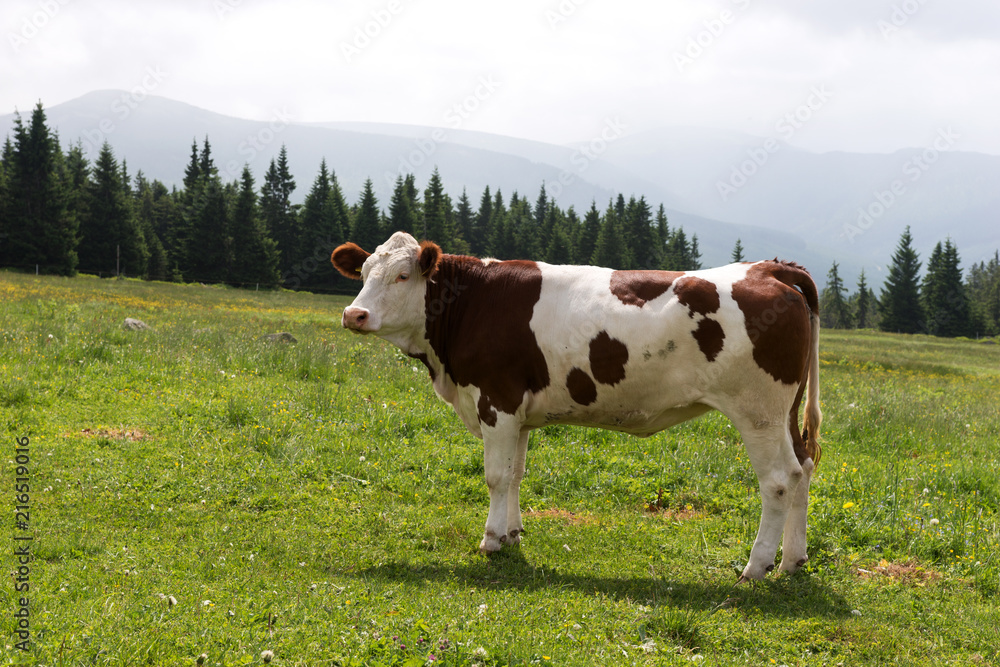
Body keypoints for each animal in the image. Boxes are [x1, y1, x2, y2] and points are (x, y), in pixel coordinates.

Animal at [332, 232, 816, 580]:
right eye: (364, 273)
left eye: (402, 276)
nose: (354, 315)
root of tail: (767, 268)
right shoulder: (519, 414)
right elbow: (515, 474)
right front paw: (511, 534)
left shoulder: (495, 401)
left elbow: (495, 476)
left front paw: (490, 540)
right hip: (785, 414)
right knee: (804, 466)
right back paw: (793, 559)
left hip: (757, 410)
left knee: (778, 480)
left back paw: (756, 567)